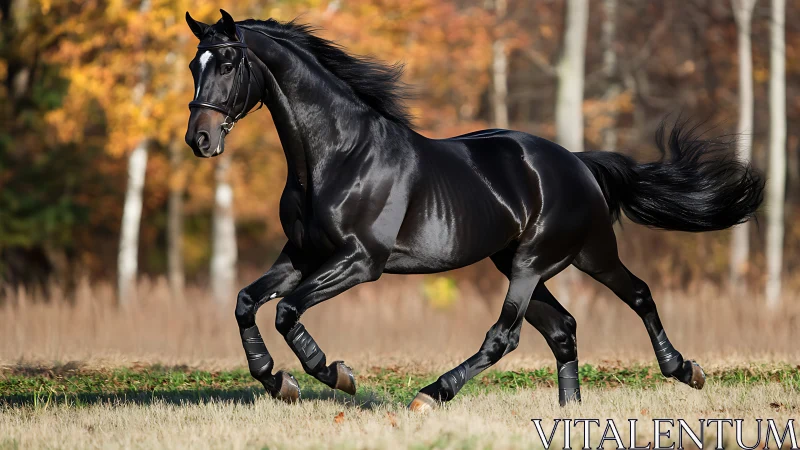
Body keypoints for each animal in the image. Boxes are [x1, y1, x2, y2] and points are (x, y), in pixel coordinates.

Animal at [183, 10, 764, 411]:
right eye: (194, 64)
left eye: (229, 62)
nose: (200, 139)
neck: (338, 155)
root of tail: (576, 163)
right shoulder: (301, 254)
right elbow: (246, 301)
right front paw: (276, 380)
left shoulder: (359, 261)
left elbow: (286, 311)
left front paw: (333, 374)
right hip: (518, 262)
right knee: (562, 327)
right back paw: (570, 409)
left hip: (566, 256)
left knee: (550, 321)